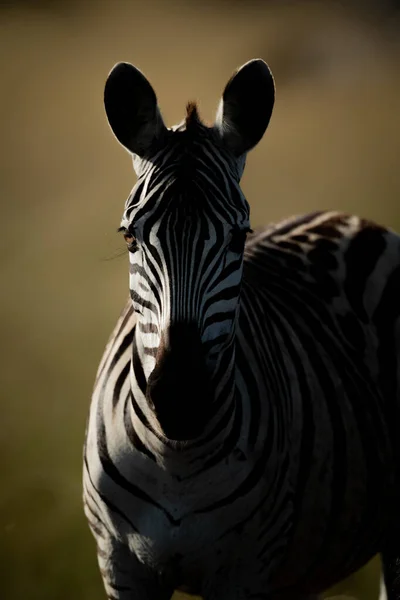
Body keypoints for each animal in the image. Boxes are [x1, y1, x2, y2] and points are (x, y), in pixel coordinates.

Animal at [83, 57, 400, 600]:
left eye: (239, 237)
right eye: (129, 237)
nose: (181, 398)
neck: (175, 459)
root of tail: (347, 218)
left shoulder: (246, 567)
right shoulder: (120, 563)